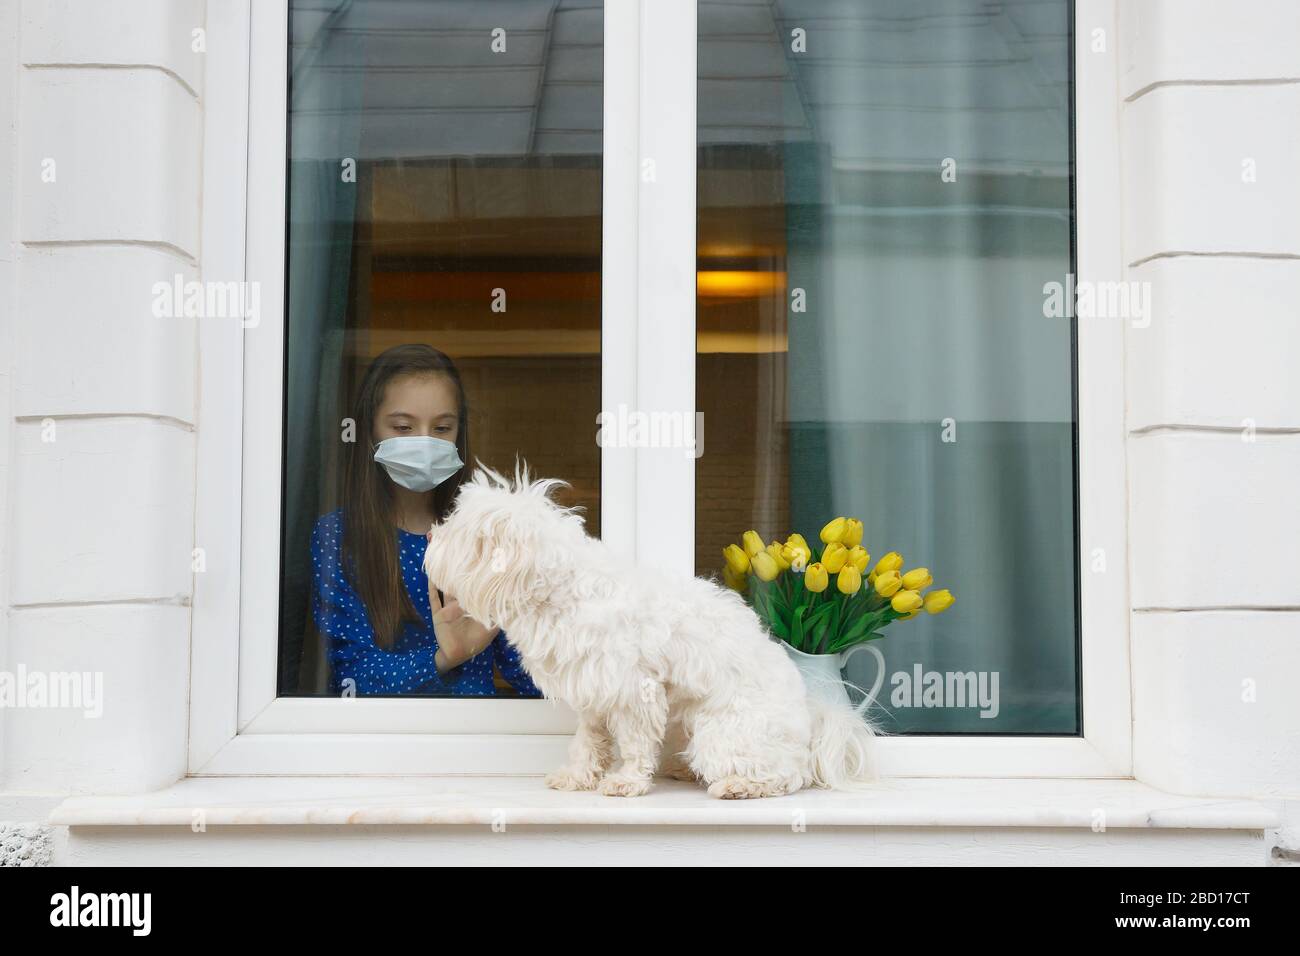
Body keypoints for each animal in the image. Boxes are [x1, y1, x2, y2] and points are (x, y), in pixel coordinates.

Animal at [421, 463, 878, 801]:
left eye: (453, 529)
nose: (429, 533)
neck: (559, 590)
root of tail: (812, 724)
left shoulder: (635, 690)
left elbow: (635, 743)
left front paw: (627, 781)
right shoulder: (594, 689)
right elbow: (588, 740)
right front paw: (578, 775)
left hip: (722, 734)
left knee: (789, 776)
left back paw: (739, 785)